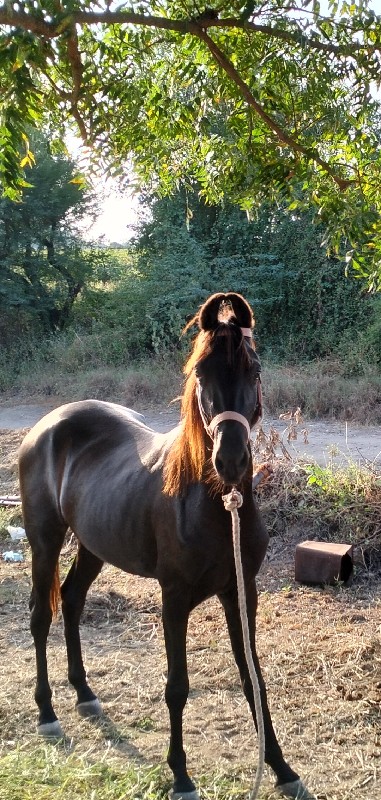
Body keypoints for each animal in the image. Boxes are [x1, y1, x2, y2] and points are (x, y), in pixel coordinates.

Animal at [18, 294, 312, 800]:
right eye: (201, 374)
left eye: (253, 370)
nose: (230, 461)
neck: (213, 504)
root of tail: (47, 424)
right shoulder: (173, 599)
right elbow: (177, 687)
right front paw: (180, 775)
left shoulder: (241, 593)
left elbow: (254, 679)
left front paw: (282, 769)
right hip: (45, 541)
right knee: (42, 615)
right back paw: (48, 714)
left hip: (94, 545)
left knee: (72, 601)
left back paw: (85, 695)